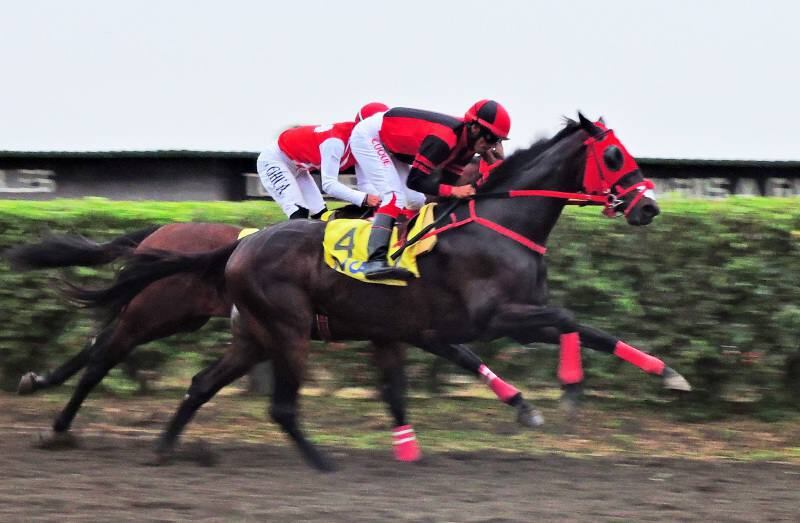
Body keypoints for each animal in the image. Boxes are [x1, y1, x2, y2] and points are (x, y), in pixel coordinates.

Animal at [5, 207, 541, 457]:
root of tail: (159, 232)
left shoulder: (410, 326)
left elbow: (466, 356)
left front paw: (523, 405)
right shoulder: (416, 325)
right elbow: (462, 352)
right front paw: (524, 405)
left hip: (173, 314)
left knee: (100, 342)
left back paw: (41, 385)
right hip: (158, 311)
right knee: (104, 353)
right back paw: (58, 425)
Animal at [71, 114, 691, 471]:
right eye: (612, 155)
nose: (648, 207)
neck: (496, 223)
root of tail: (238, 248)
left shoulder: (423, 328)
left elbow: (577, 325)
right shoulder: (490, 317)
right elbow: (571, 319)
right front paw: (582, 387)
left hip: (253, 335)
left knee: (200, 383)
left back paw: (165, 447)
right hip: (281, 329)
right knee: (273, 402)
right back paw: (321, 462)